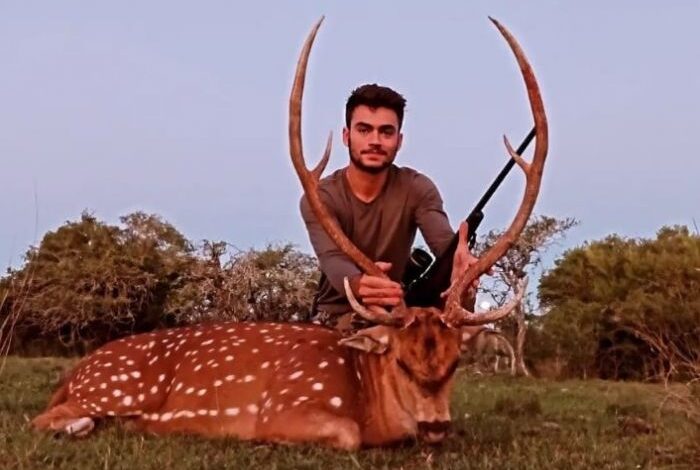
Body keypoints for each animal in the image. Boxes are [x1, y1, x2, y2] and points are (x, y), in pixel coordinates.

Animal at [31, 16, 548, 450]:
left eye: (454, 361)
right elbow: (346, 434)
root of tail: (72, 374)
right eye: (402, 360)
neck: (365, 396)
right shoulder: (285, 407)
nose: (435, 426)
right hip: (111, 387)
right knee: (42, 420)